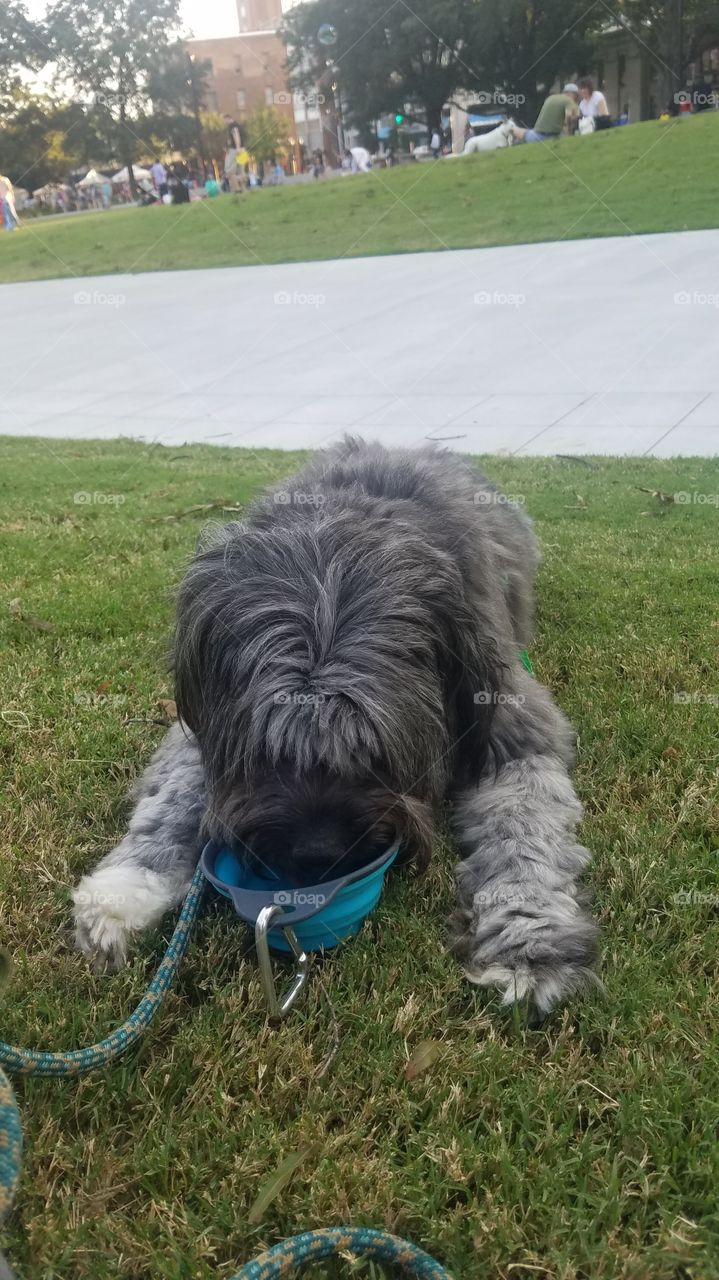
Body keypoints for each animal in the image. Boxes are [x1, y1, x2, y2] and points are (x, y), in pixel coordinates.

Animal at [74, 435, 598, 1013]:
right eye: (265, 753)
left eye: (376, 753)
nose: (317, 853)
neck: (333, 553)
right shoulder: (199, 725)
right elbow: (174, 799)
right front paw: (123, 889)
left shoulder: (512, 729)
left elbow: (525, 834)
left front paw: (530, 940)